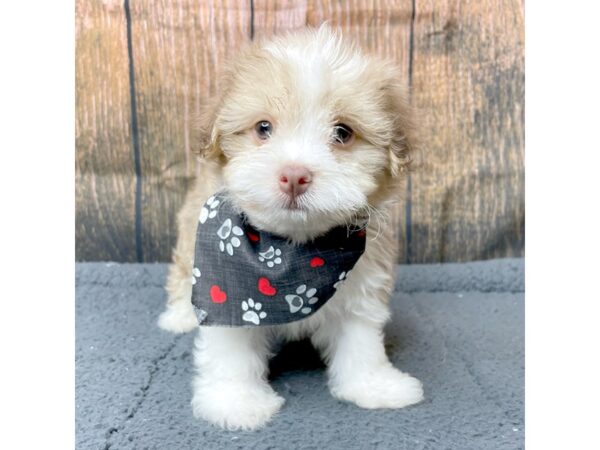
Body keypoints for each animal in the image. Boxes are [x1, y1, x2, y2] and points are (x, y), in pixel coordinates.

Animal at [157, 23, 424, 428]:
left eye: (342, 133)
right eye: (263, 128)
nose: (295, 176)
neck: (291, 254)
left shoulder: (362, 284)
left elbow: (360, 341)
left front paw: (373, 385)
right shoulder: (230, 295)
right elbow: (231, 352)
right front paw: (235, 401)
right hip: (191, 231)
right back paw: (180, 316)